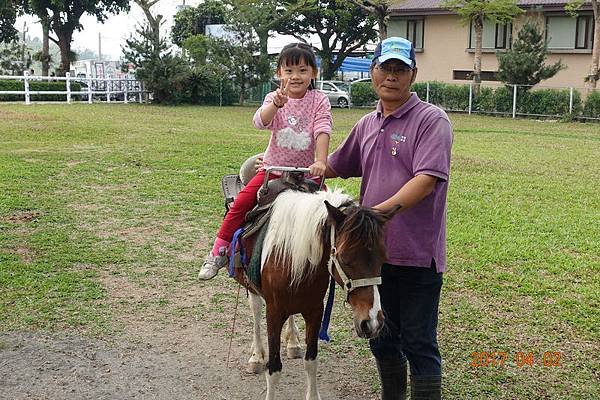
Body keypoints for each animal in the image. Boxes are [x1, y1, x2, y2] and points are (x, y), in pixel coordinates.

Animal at [232, 188, 396, 400]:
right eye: (345, 259)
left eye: (383, 258)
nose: (373, 321)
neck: (288, 256)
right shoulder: (274, 313)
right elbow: (274, 369)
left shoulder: (315, 311)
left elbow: (311, 361)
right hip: (253, 290)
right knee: (255, 312)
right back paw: (257, 356)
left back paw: (293, 343)